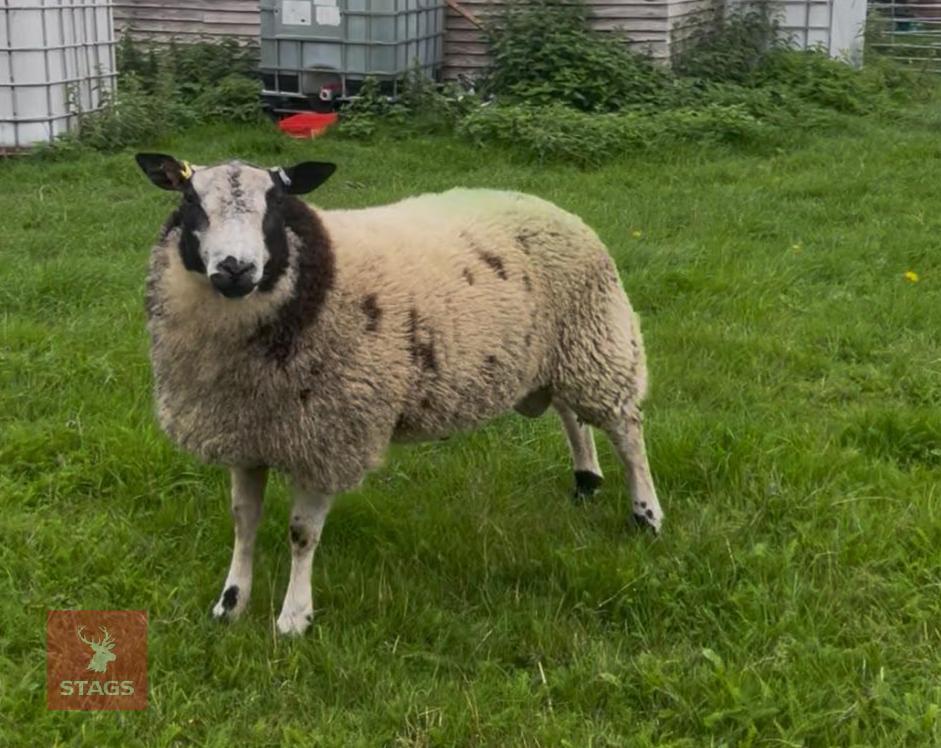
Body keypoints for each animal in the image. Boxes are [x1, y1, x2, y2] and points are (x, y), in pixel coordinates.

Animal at [135, 153, 663, 635]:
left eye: (278, 202)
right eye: (189, 199)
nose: (236, 268)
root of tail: (547, 205)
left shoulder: (331, 436)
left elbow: (301, 535)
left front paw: (293, 618)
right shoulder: (245, 433)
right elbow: (244, 522)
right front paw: (230, 603)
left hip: (595, 338)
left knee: (627, 429)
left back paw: (646, 514)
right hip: (554, 353)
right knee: (570, 413)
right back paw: (586, 479)